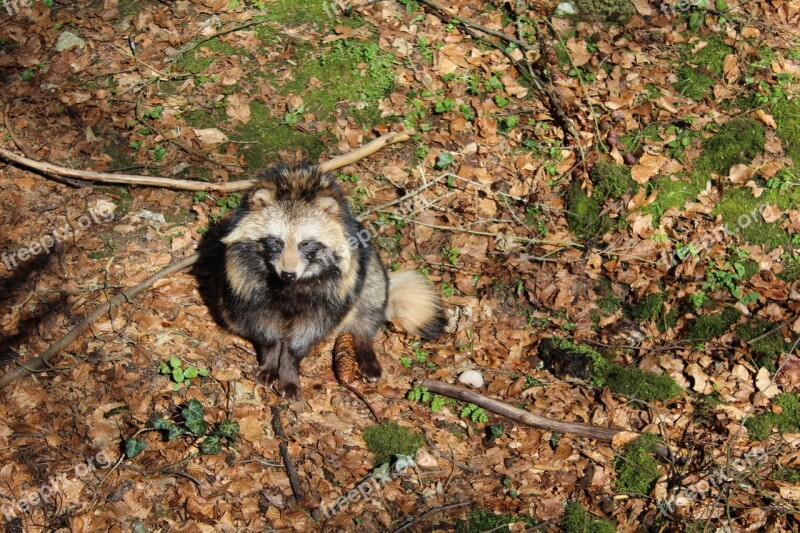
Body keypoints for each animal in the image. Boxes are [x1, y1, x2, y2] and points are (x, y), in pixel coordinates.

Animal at [216, 164, 446, 396]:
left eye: (305, 243)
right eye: (276, 241)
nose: (288, 274)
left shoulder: (331, 292)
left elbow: (305, 335)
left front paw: (289, 370)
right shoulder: (247, 281)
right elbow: (265, 329)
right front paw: (271, 361)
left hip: (370, 271)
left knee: (369, 305)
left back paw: (365, 346)